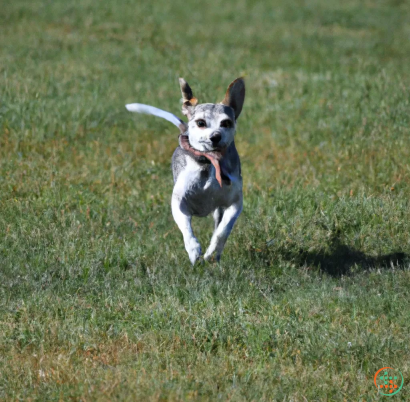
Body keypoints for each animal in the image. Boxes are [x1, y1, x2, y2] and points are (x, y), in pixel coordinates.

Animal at [126, 77, 245, 264]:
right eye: (201, 123)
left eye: (226, 123)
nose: (215, 136)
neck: (209, 164)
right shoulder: (179, 204)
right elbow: (186, 228)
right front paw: (194, 249)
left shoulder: (235, 204)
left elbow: (223, 230)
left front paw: (211, 251)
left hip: (218, 211)